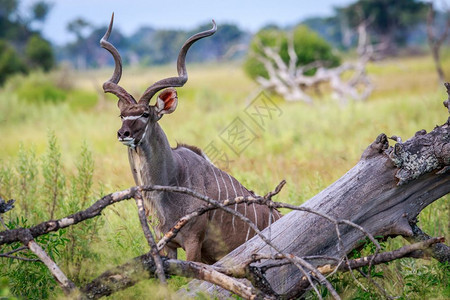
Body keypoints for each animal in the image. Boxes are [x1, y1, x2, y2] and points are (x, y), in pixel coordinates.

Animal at [101, 14, 282, 262]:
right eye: (122, 115)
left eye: (146, 114)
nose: (123, 133)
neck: (171, 180)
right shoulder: (167, 244)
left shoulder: (193, 242)